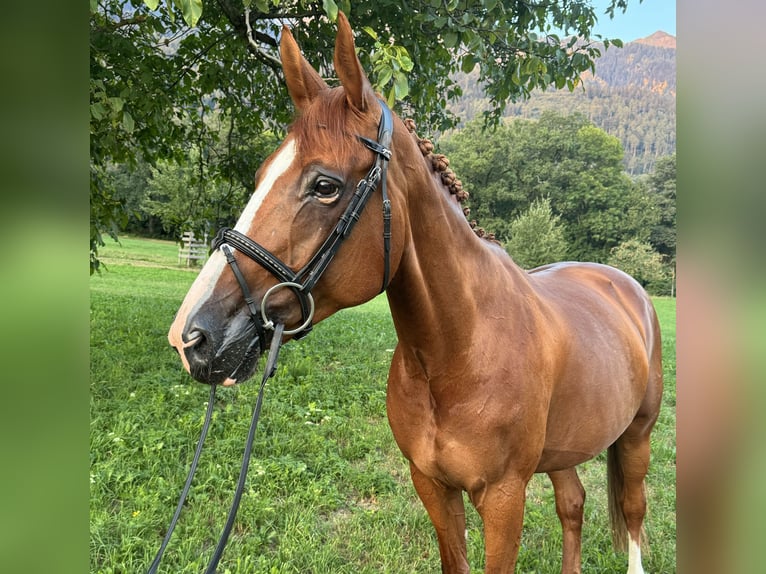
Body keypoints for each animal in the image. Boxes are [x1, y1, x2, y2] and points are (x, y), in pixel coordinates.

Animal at [170, 13, 664, 574]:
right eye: (259, 176)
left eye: (324, 186)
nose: (191, 338)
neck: (458, 351)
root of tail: (626, 285)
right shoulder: (431, 485)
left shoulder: (504, 498)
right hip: (567, 446)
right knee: (573, 504)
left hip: (637, 435)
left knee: (632, 510)